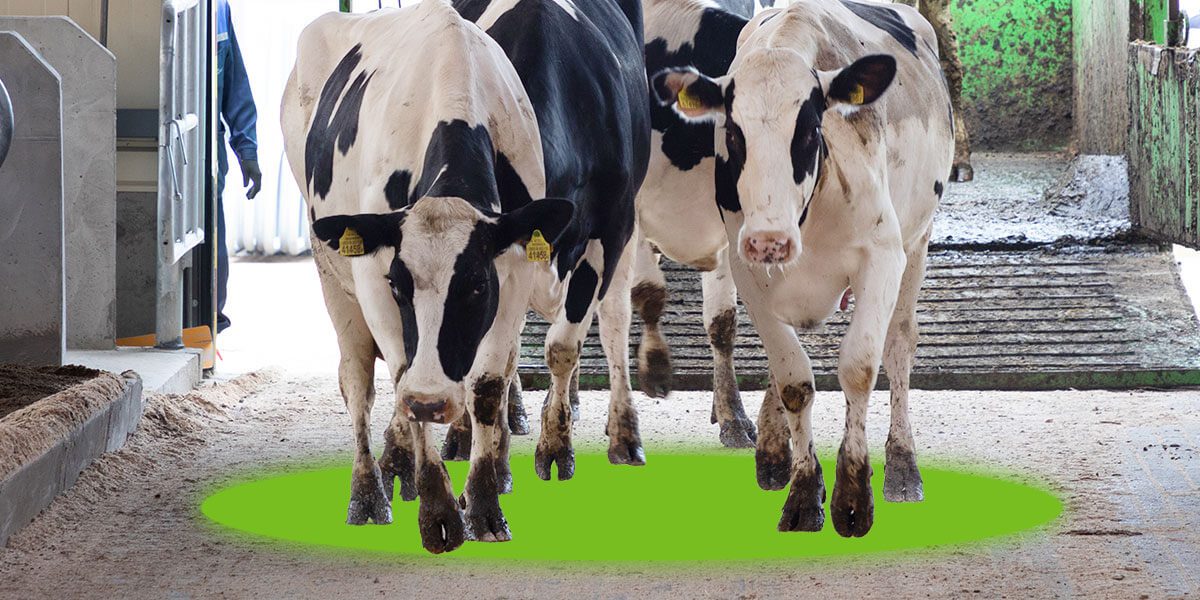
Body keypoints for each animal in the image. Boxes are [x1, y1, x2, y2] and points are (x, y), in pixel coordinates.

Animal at [282, 0, 649, 554]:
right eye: (398, 284)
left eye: (477, 285)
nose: (432, 402)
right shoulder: (374, 276)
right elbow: (400, 376)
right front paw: (438, 508)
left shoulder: (550, 254)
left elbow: (508, 373)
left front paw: (492, 496)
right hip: (331, 271)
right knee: (357, 379)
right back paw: (372, 488)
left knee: (611, 323)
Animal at [652, 0, 953, 537]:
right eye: (733, 134)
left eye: (811, 129)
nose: (769, 239)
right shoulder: (746, 268)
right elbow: (793, 379)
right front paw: (803, 491)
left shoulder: (882, 257)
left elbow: (859, 368)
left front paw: (853, 497)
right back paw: (773, 452)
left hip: (917, 242)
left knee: (899, 345)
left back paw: (903, 465)